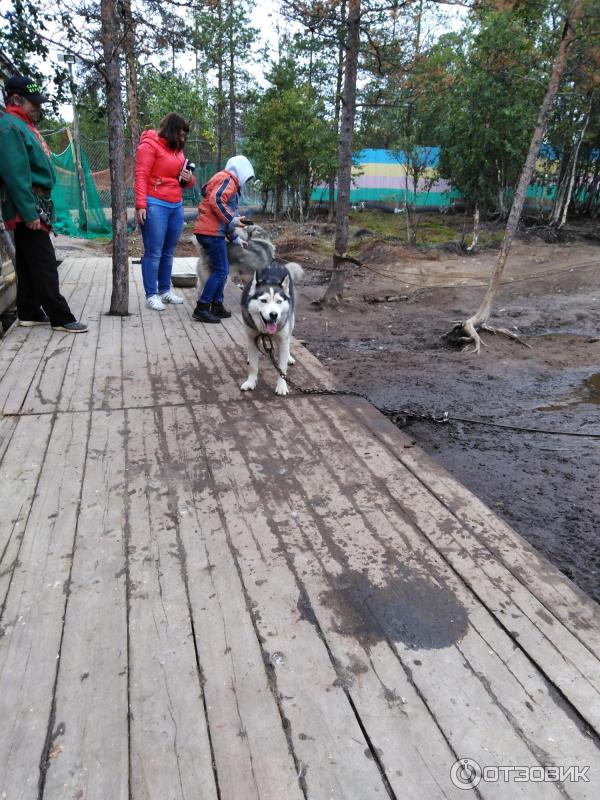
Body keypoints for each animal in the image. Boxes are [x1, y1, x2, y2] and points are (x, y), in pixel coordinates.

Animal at [241, 262, 298, 396]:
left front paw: (281, 386)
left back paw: (289, 357)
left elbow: (282, 369)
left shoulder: (282, 341)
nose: (274, 315)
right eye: (263, 300)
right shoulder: (252, 338)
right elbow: (253, 365)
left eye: (279, 302)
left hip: (291, 322)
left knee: (289, 340)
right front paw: (251, 382)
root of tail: (276, 263)